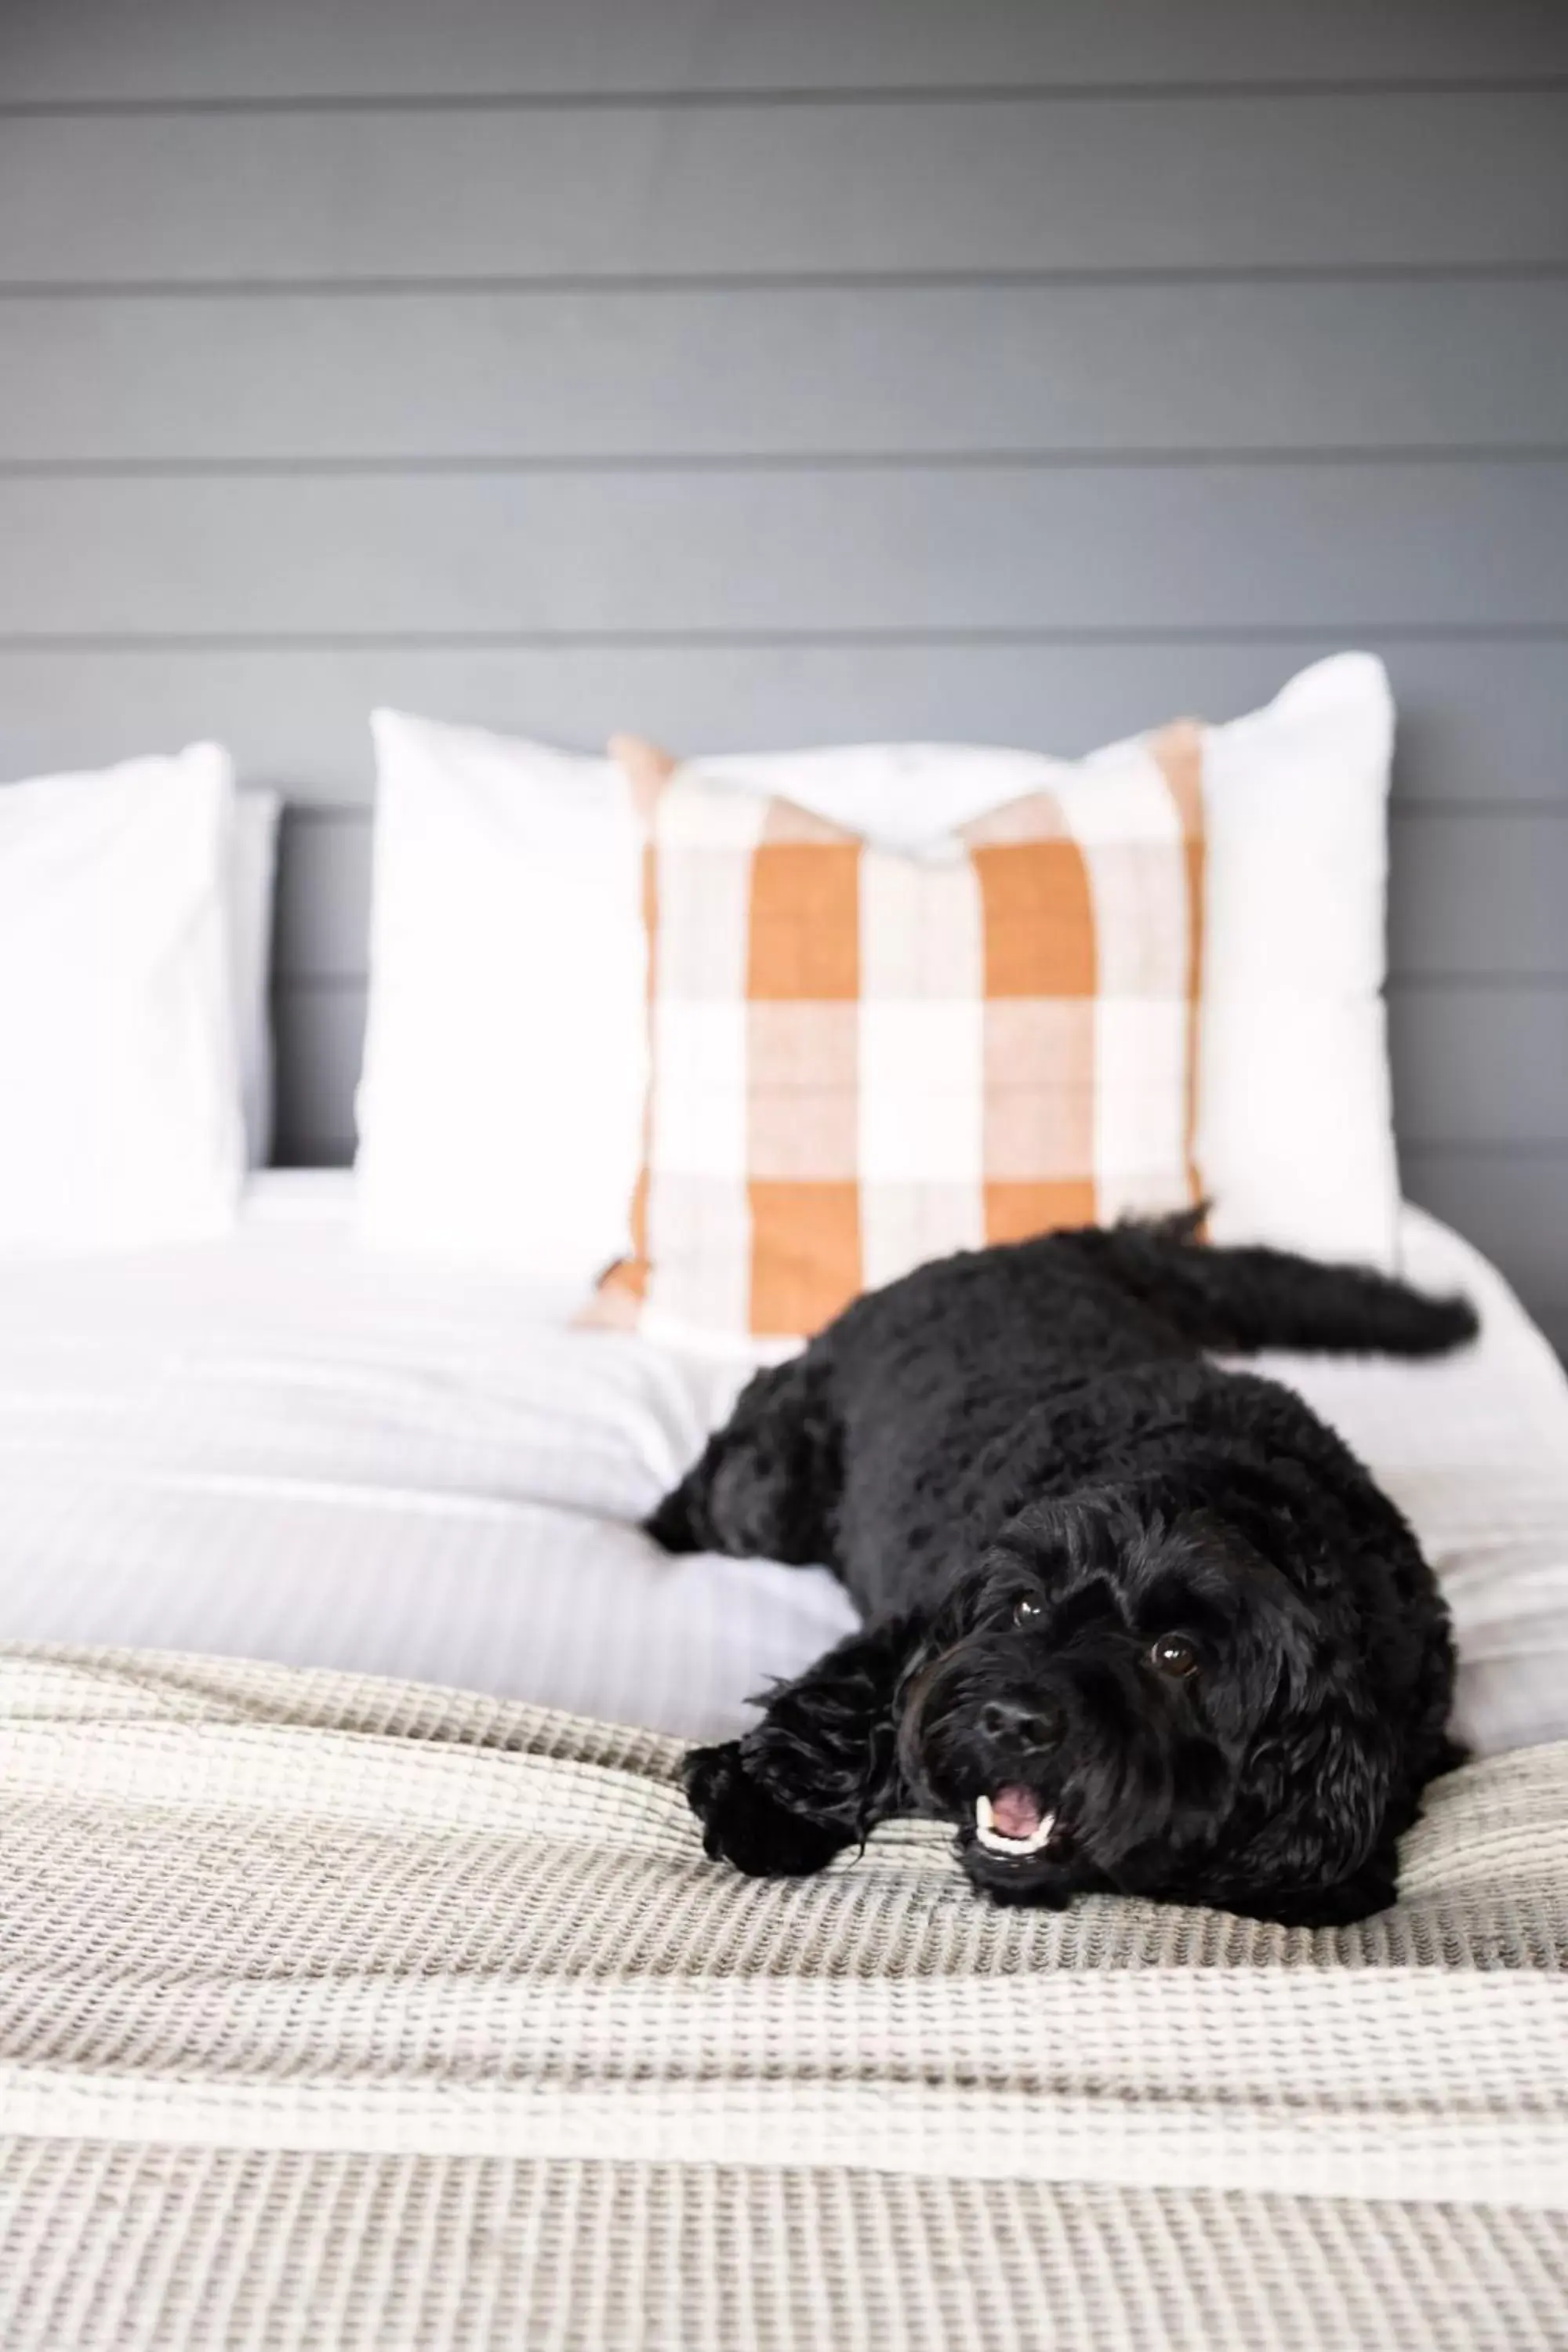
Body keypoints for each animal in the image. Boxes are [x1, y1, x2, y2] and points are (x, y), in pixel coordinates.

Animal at [644, 1214, 1476, 1929]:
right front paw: (765, 1802)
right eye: (1027, 1609)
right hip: (764, 1497)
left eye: (1177, 1654)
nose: (1012, 1721)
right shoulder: (921, 1625)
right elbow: (842, 1701)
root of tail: (1036, 1245)